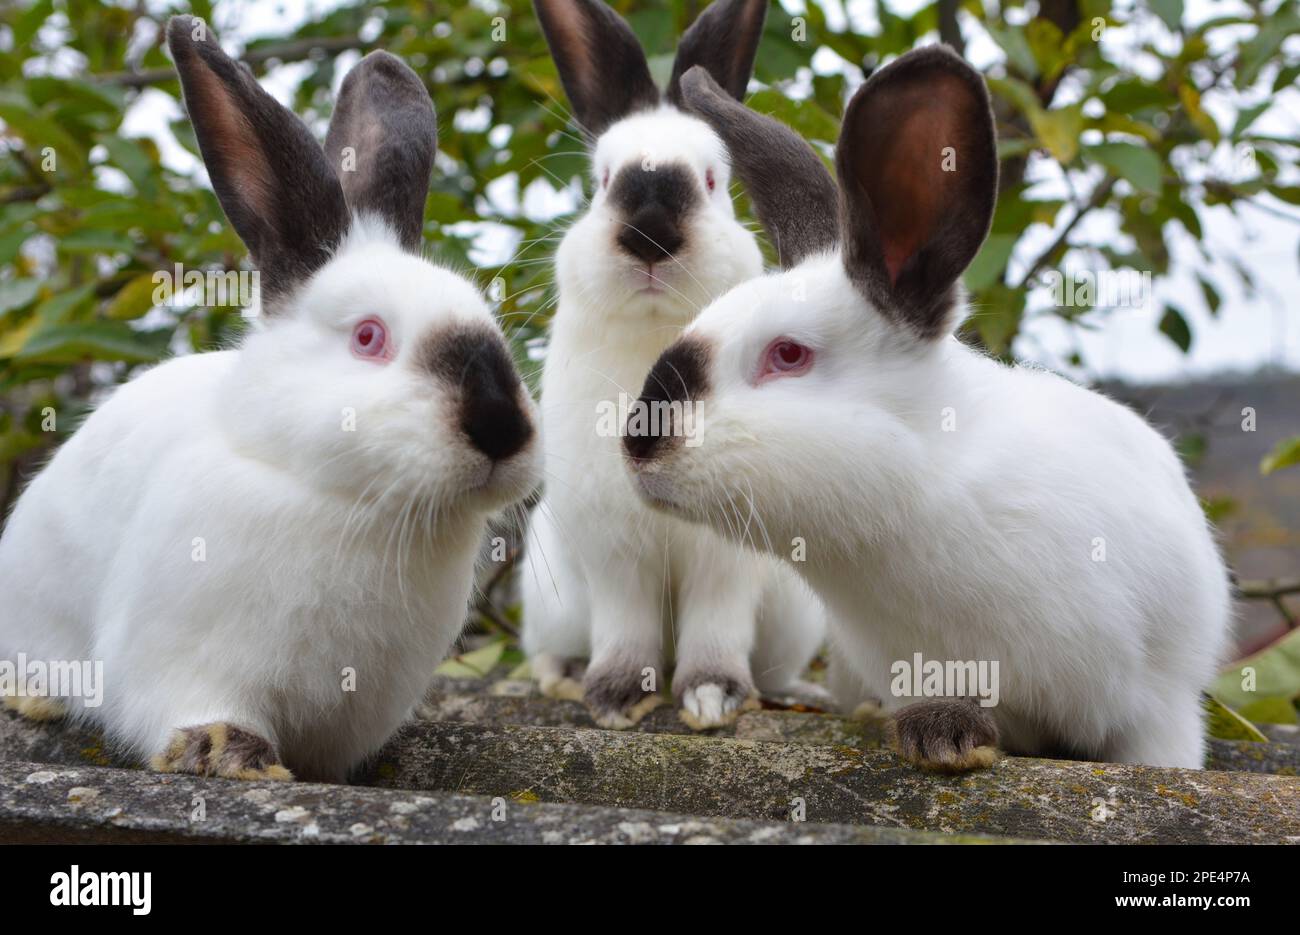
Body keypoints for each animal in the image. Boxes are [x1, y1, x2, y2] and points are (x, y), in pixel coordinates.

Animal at [520, 0, 826, 730]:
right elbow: (624, 625)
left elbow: (715, 623)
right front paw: (615, 698)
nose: (651, 232)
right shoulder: (611, 549)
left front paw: (711, 699)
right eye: (603, 182)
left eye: (714, 180)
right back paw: (559, 675)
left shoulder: (728, 552)